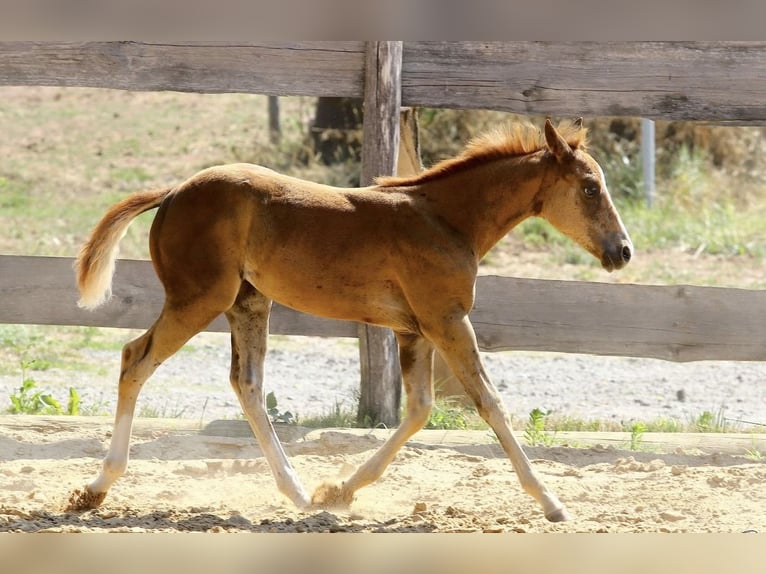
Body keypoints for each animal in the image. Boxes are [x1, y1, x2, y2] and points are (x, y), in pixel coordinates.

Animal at [69, 118, 632, 522]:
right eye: (589, 188)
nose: (623, 251)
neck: (447, 220)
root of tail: (171, 193)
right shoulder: (447, 320)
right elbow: (489, 403)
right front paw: (552, 501)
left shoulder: (412, 330)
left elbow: (419, 410)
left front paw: (339, 490)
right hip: (199, 298)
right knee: (135, 359)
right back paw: (96, 488)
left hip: (247, 303)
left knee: (247, 384)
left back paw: (298, 492)